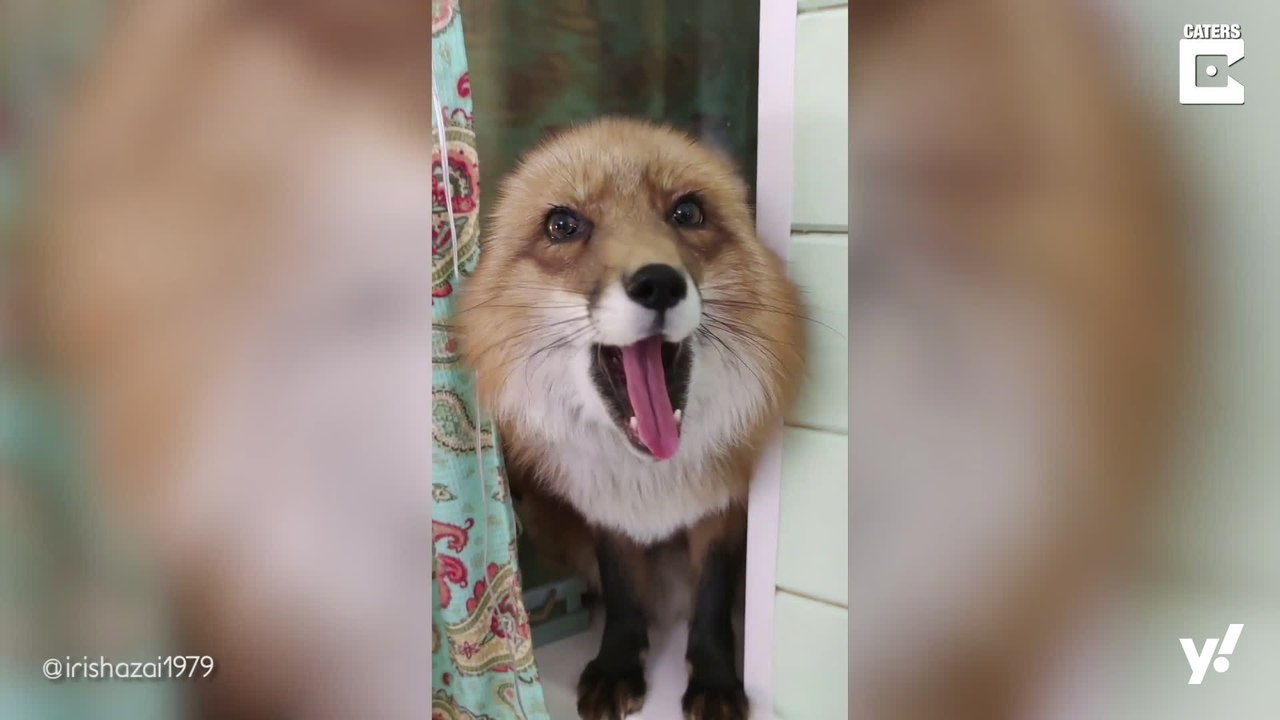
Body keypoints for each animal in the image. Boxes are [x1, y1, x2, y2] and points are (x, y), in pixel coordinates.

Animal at [458, 118, 806, 720]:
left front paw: (715, 678)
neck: (650, 478)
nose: (658, 283)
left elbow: (711, 599)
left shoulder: (725, 509)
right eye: (563, 224)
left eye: (687, 212)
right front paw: (619, 662)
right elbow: (622, 592)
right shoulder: (605, 512)